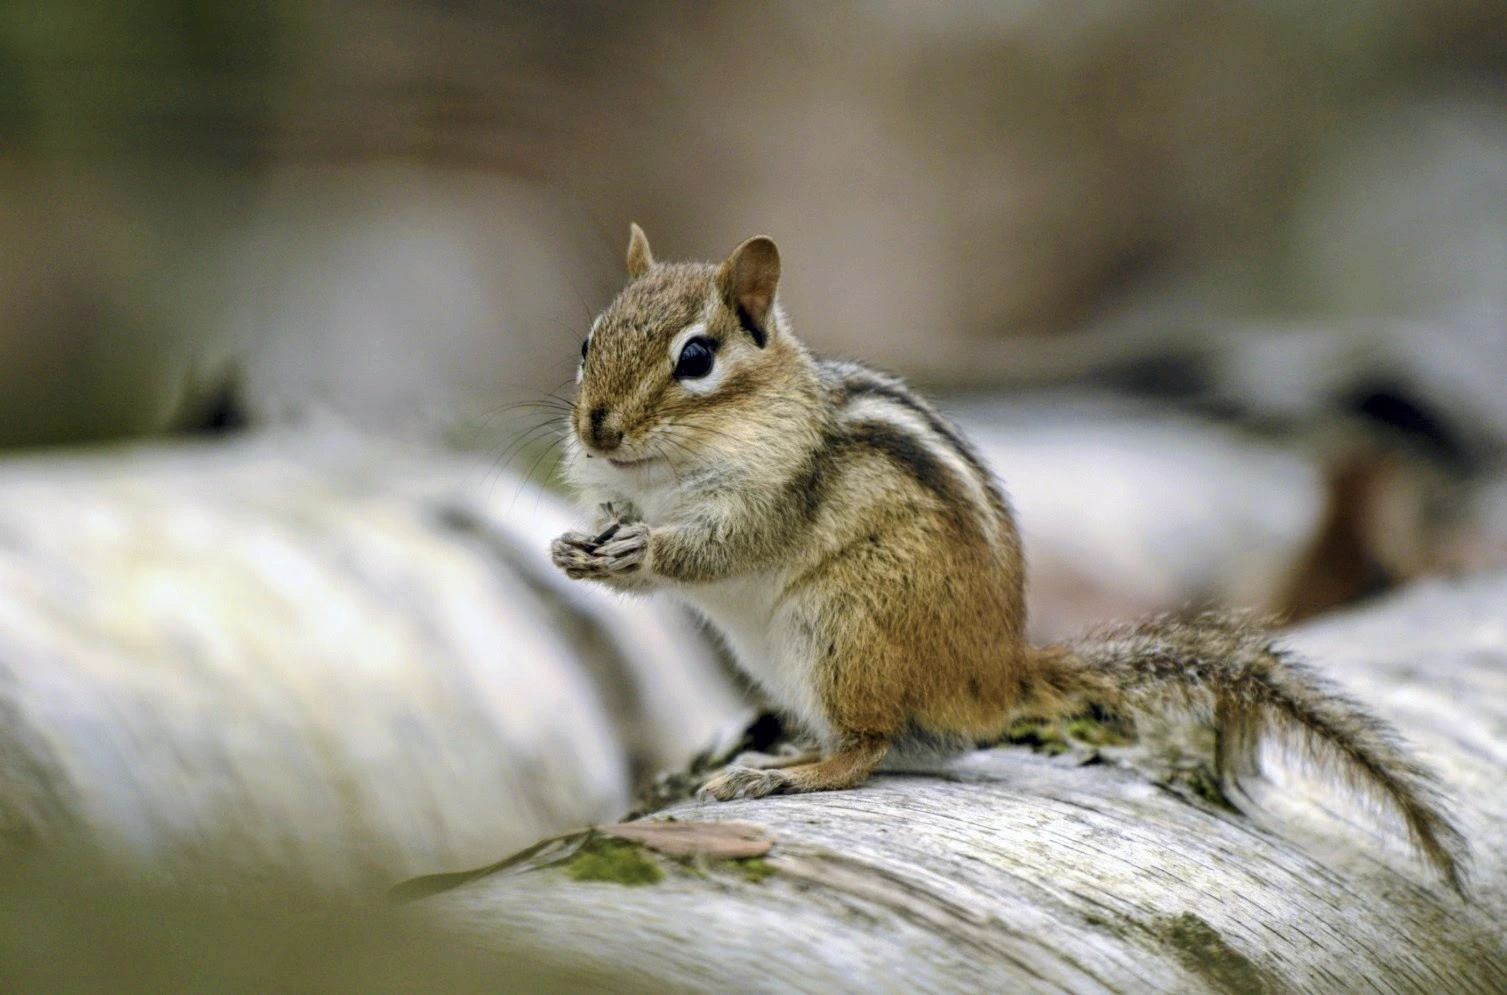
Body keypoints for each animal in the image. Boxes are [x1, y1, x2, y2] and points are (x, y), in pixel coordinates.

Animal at [549, 224, 1469, 893]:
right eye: (586, 340)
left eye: (696, 358)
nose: (596, 426)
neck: (663, 474)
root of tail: (995, 673)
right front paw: (575, 545)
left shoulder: (776, 493)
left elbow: (719, 547)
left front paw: (642, 548)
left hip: (843, 629)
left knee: (864, 750)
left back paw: (779, 773)